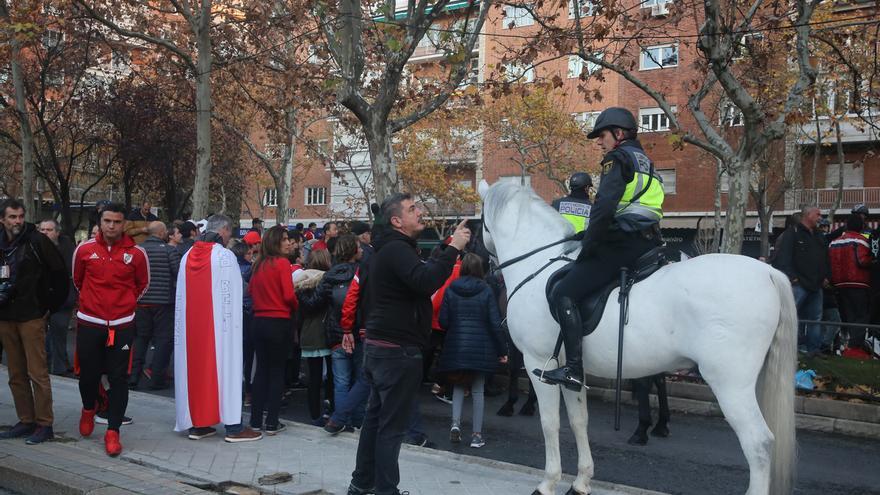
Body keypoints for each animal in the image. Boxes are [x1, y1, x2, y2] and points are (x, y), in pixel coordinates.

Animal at [478, 180, 800, 495]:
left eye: (479, 221)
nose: (483, 263)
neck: (536, 265)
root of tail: (768, 272)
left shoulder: (539, 361)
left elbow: (550, 423)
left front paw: (548, 483)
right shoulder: (569, 370)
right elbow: (579, 421)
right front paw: (581, 482)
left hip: (730, 383)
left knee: (759, 442)